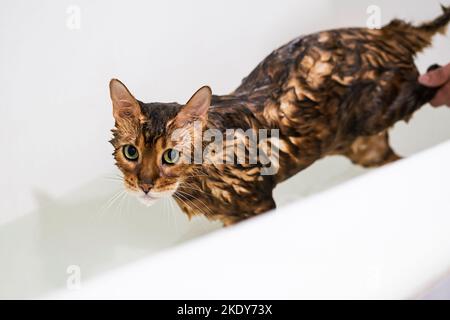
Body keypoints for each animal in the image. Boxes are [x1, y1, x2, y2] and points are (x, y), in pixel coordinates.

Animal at [109, 5, 450, 225]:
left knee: (425, 85)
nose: (145, 185)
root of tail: (383, 34)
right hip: (366, 147)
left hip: (383, 106)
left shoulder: (257, 205)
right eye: (131, 152)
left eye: (170, 156)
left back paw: (437, 75)